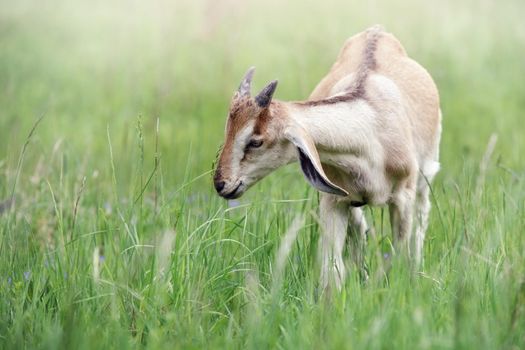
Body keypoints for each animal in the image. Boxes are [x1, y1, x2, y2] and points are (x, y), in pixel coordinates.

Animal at [211, 26, 440, 290]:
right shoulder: (335, 200)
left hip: (424, 178)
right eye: (228, 130)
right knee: (360, 230)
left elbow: (401, 255)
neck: (372, 125)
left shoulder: (402, 198)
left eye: (255, 141)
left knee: (420, 221)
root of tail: (376, 31)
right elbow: (332, 269)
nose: (222, 184)